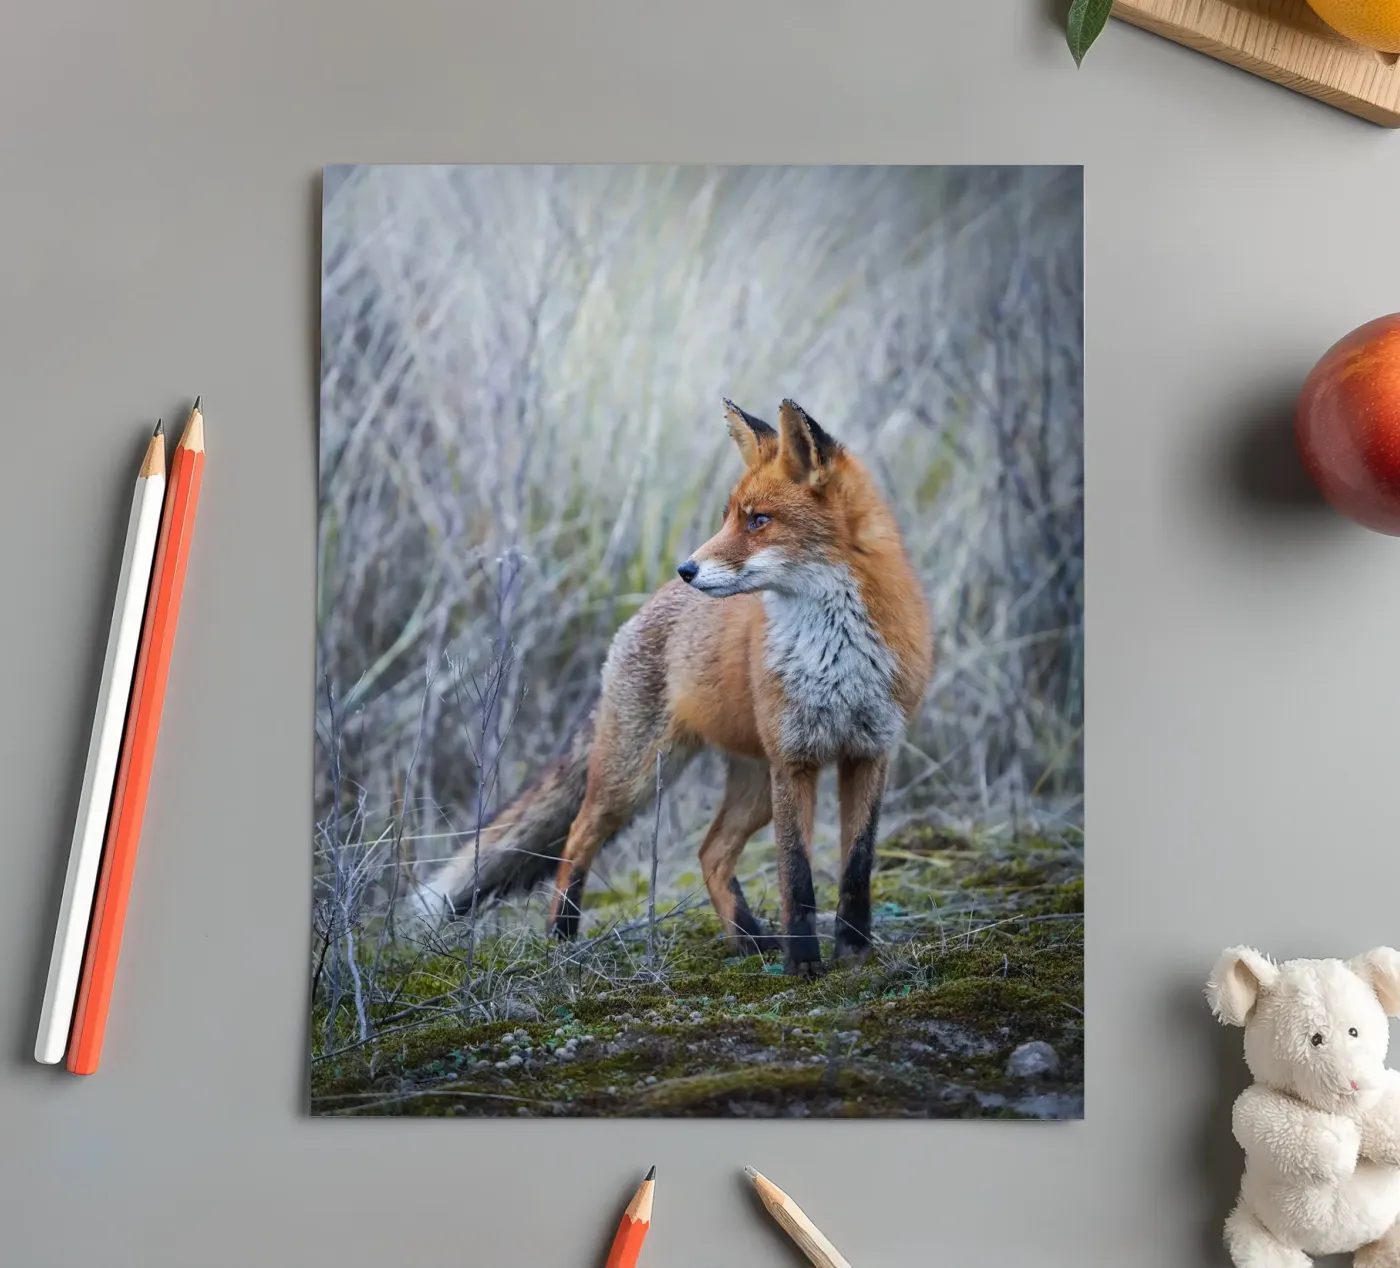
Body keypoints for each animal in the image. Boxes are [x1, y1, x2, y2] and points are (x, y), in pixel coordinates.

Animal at [411, 398, 933, 976]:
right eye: (730, 516)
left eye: (759, 520)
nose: (688, 568)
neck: (834, 654)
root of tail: (647, 606)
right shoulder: (795, 760)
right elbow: (796, 878)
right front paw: (804, 966)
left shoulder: (869, 752)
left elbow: (856, 869)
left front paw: (855, 955)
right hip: (636, 778)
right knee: (577, 837)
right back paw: (561, 937)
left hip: (754, 785)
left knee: (710, 852)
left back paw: (749, 940)